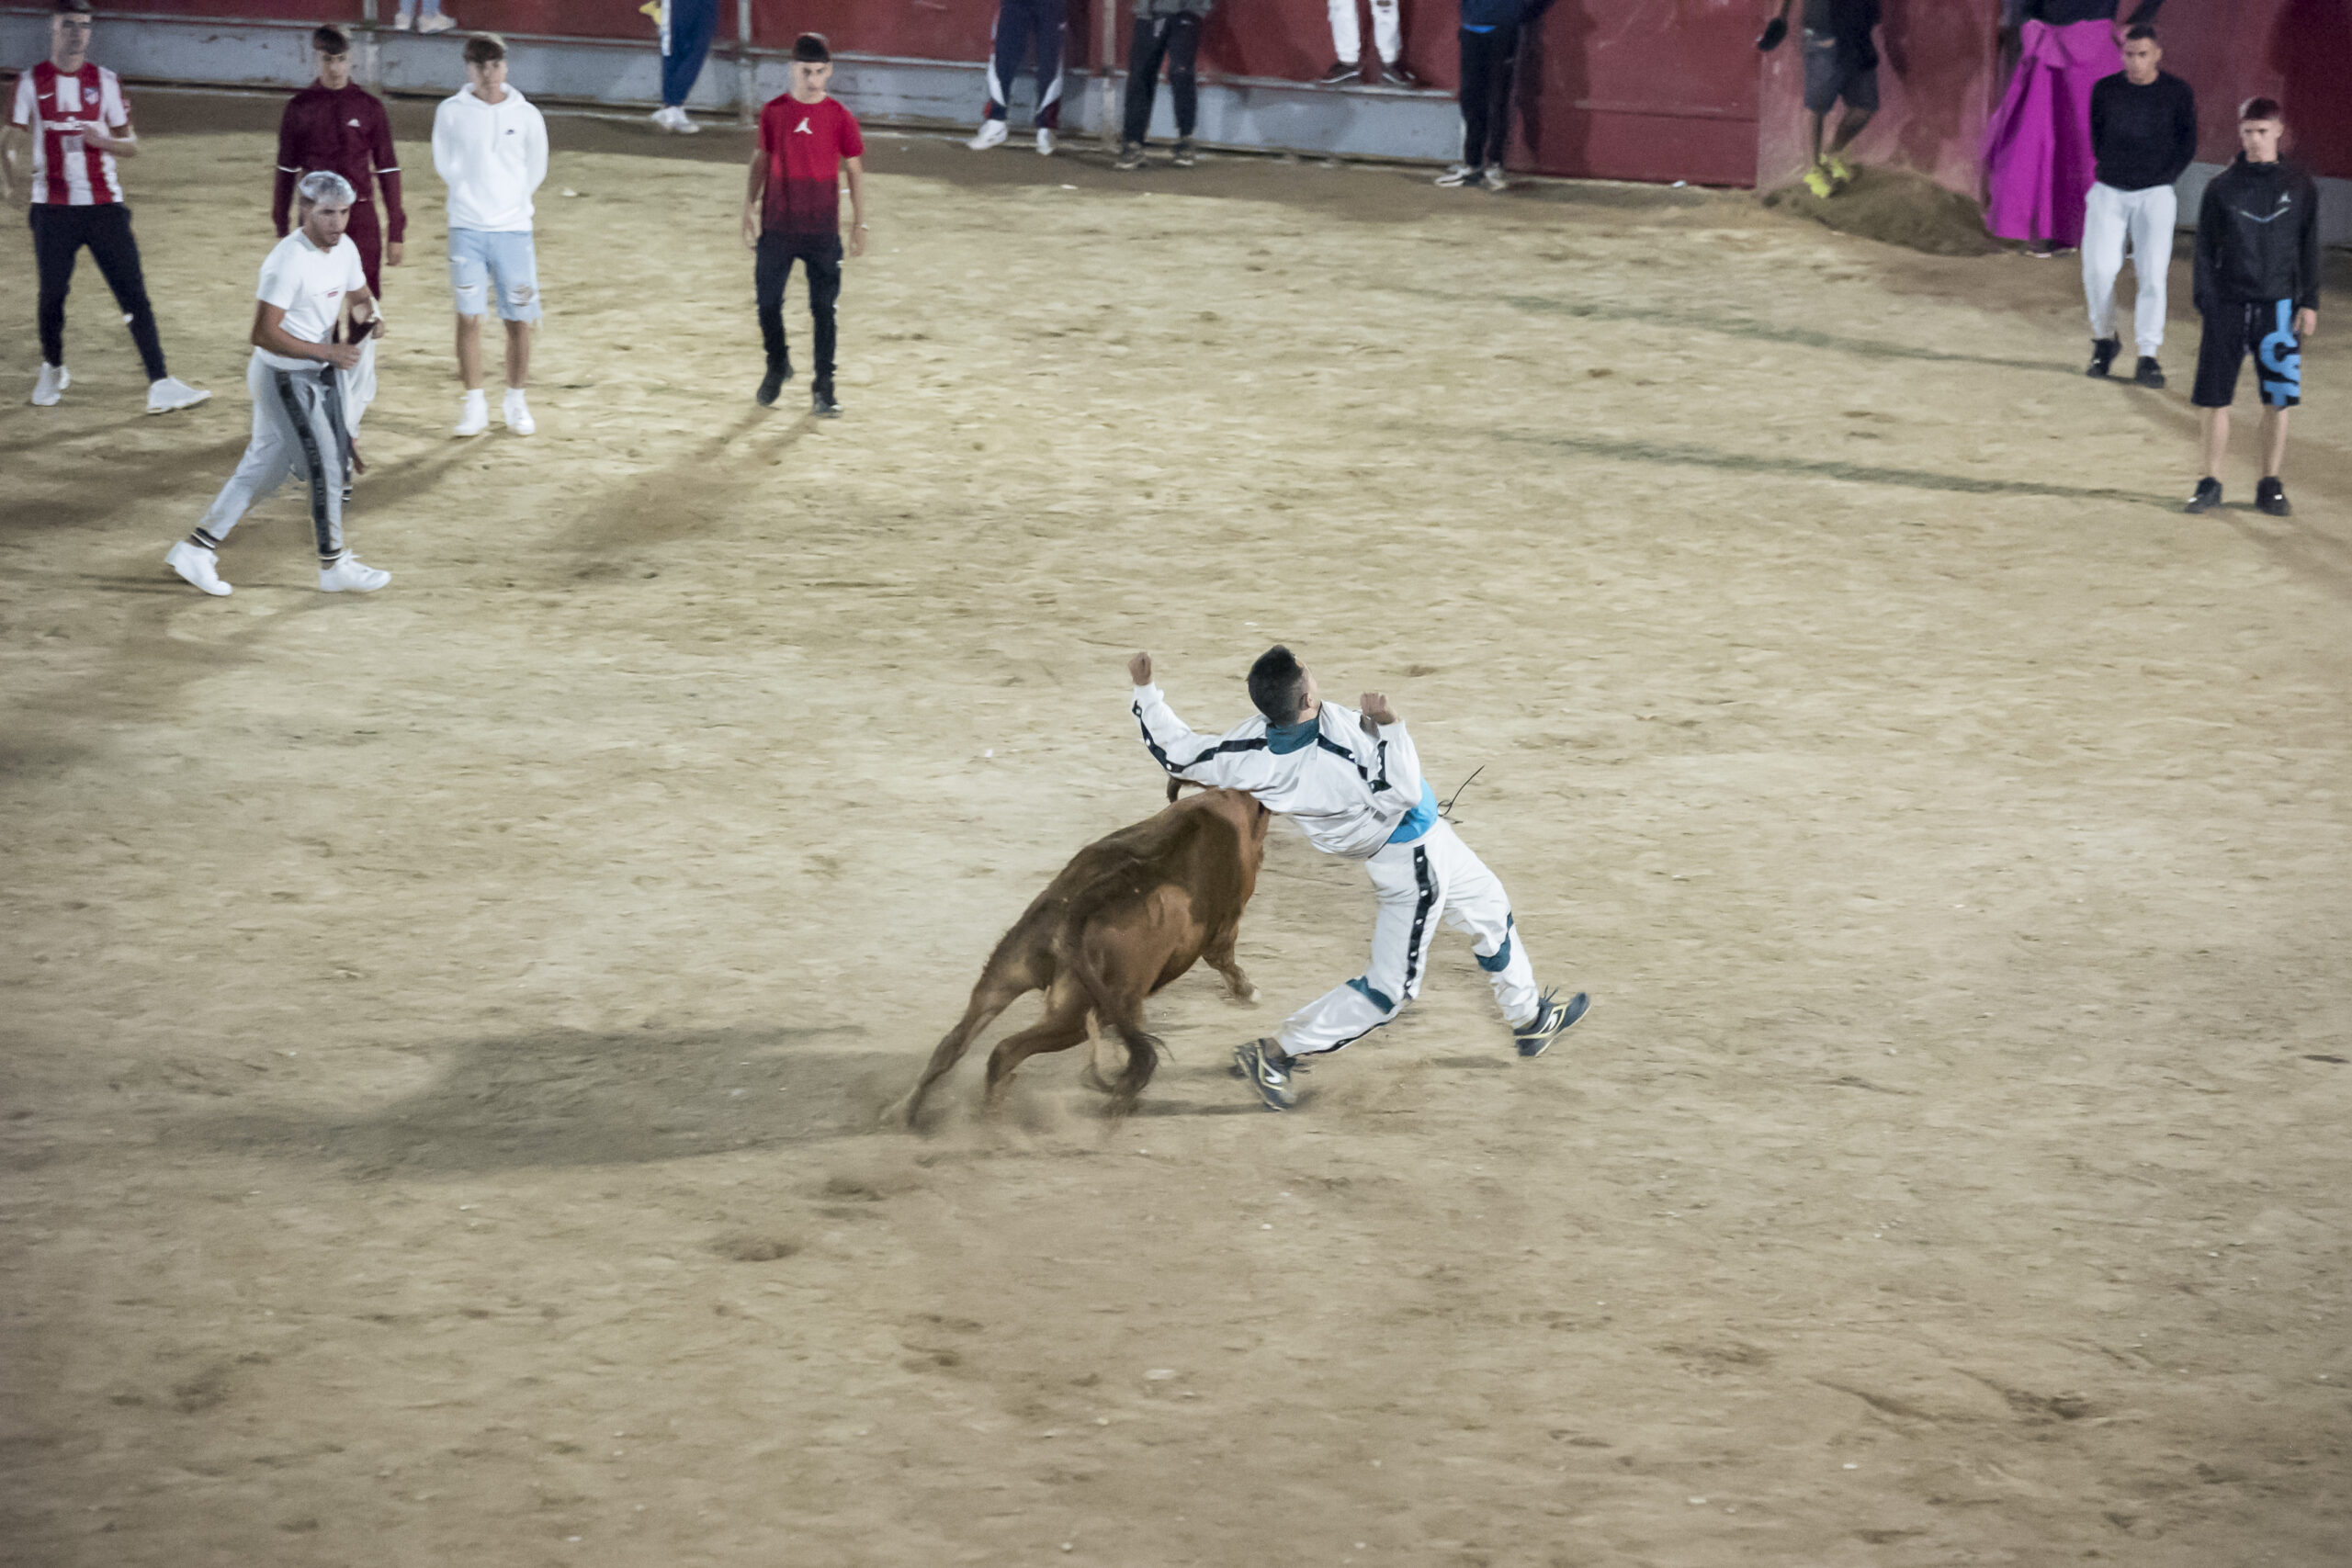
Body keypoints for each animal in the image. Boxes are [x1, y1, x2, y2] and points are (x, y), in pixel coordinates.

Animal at [893, 789, 1270, 1123]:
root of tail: (1083, 904)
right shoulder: (1224, 930)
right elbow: (1225, 960)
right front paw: (1248, 993)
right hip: (1081, 1014)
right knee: (1005, 1052)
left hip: (1007, 972)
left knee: (954, 1043)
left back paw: (906, 1112)